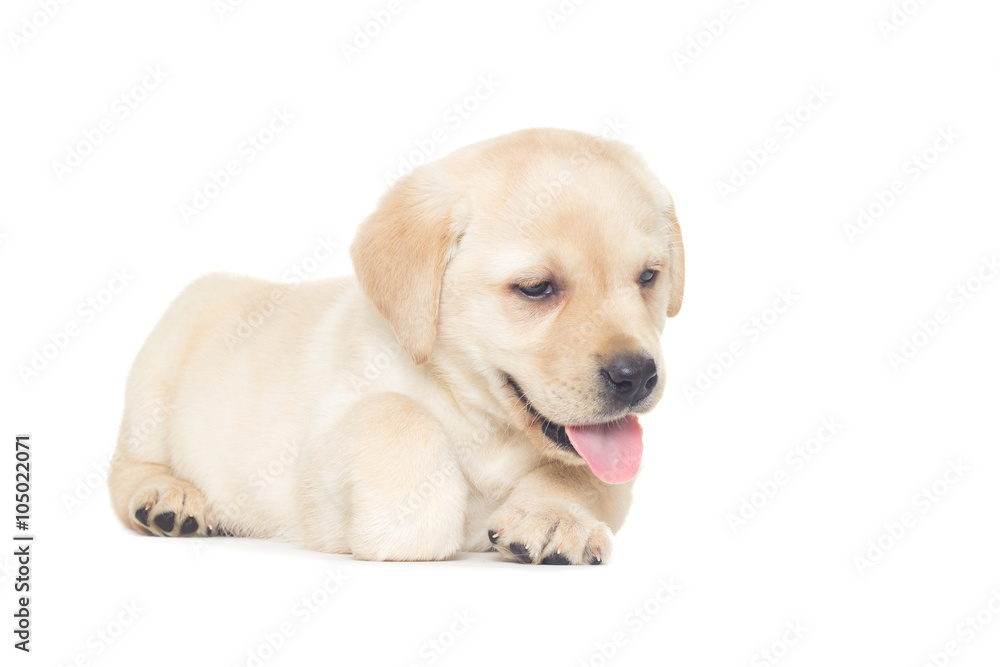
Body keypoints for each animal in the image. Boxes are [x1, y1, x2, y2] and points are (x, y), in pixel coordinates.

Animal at [111, 128, 688, 568]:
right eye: (536, 288)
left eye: (648, 277)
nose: (637, 375)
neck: (483, 421)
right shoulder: (312, 470)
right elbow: (396, 414)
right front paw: (411, 525)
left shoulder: (610, 472)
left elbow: (581, 475)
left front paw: (555, 517)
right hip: (161, 364)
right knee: (126, 468)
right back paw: (168, 498)